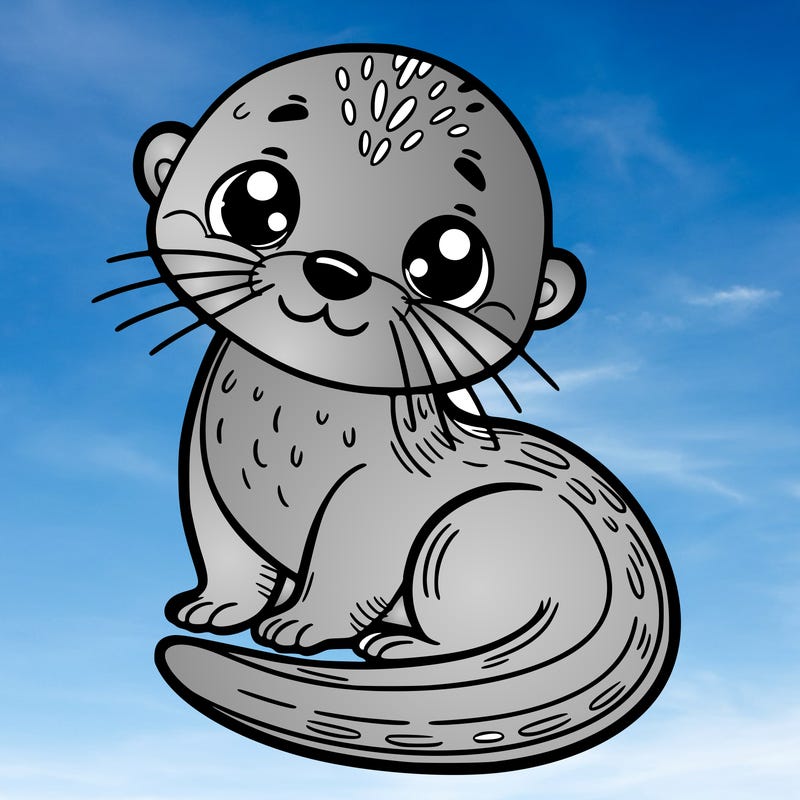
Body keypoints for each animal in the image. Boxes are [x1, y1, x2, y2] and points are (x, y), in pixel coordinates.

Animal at [104, 45, 679, 774]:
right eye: (255, 200)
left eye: (450, 262)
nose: (334, 269)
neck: (285, 431)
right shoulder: (204, 472)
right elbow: (222, 549)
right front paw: (215, 607)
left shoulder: (375, 498)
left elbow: (348, 568)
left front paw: (300, 624)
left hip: (466, 533)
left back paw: (401, 645)